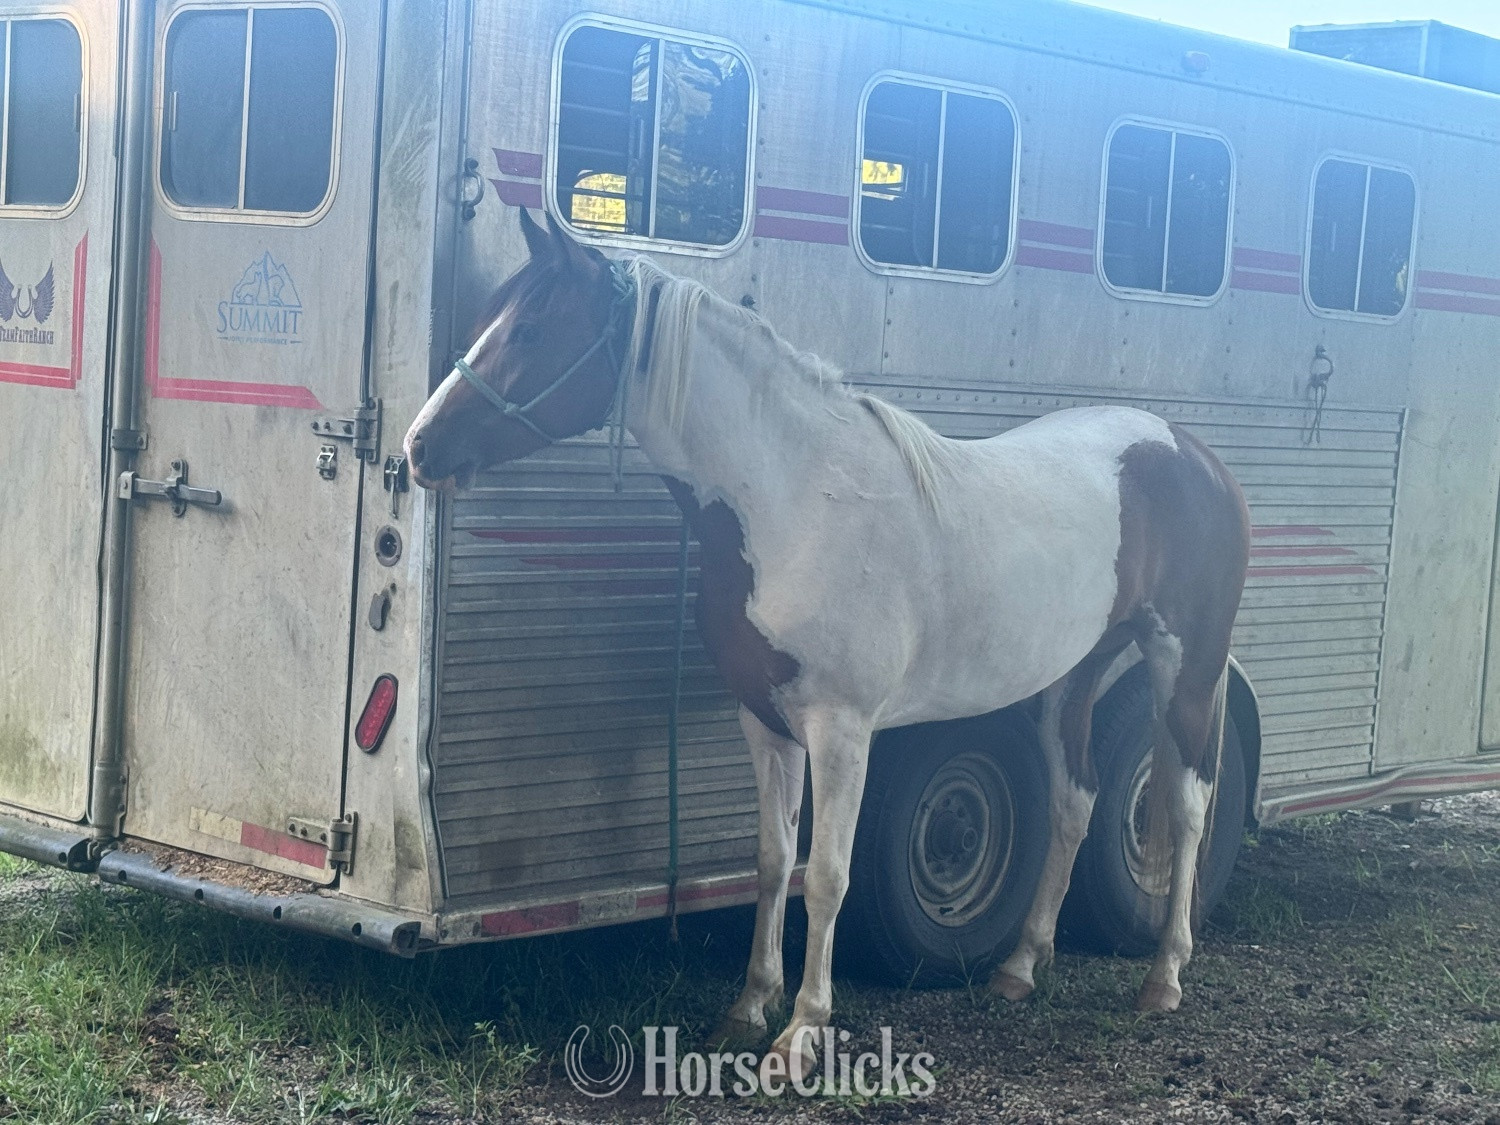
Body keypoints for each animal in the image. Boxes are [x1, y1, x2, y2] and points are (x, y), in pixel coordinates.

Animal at [406, 210, 1250, 1064]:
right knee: (1075, 801)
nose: (419, 447)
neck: (799, 499)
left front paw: (802, 1031)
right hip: (1074, 672)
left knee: (1188, 807)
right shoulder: (764, 717)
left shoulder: (842, 729)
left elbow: (829, 874)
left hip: (1186, 671)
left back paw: (1164, 977)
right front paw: (749, 1005)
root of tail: (1193, 453)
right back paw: (1019, 966)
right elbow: (774, 859)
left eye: (533, 329)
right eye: (487, 323)